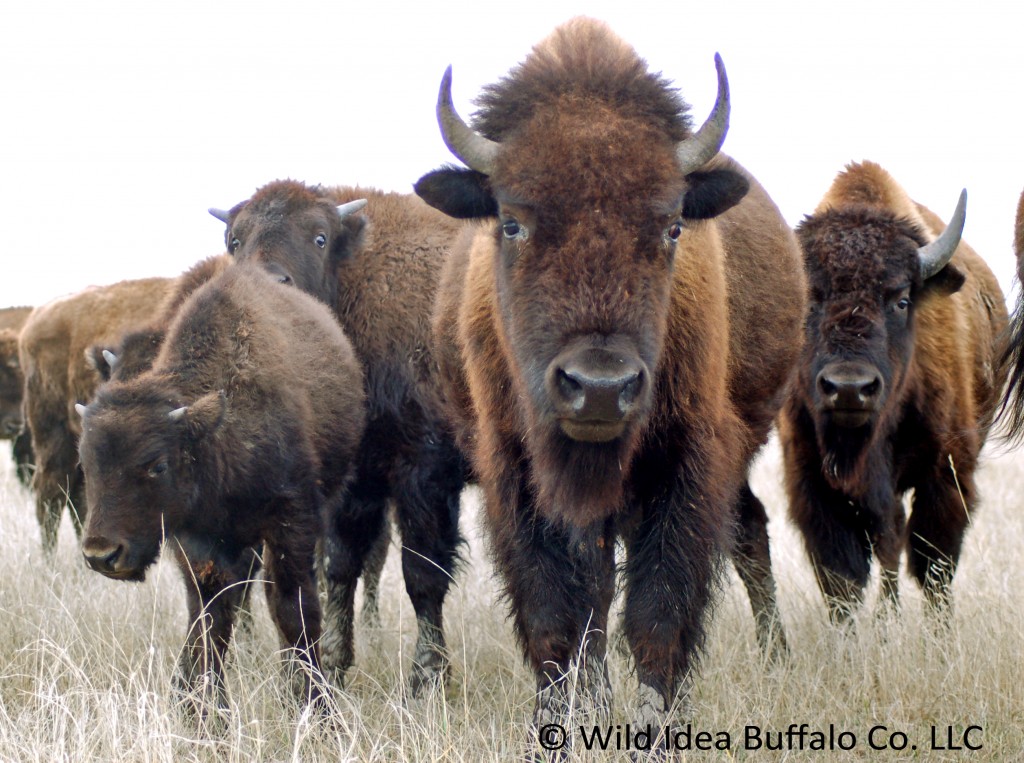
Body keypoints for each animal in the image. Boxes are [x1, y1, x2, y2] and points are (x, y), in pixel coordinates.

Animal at [77, 262, 365, 715]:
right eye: (86, 464)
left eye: (157, 464)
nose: (101, 555)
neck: (214, 433)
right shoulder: (197, 543)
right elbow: (209, 617)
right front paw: (205, 710)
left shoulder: (292, 523)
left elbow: (293, 608)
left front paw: (317, 708)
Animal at [414, 18, 806, 740]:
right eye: (511, 221)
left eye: (673, 225)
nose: (598, 387)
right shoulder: (516, 473)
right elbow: (554, 616)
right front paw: (557, 728)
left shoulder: (688, 464)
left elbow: (659, 614)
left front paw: (657, 730)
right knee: (594, 593)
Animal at [779, 161, 1007, 621]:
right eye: (809, 298)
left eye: (901, 300)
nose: (849, 388)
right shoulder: (811, 481)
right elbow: (842, 579)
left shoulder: (946, 476)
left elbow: (933, 565)